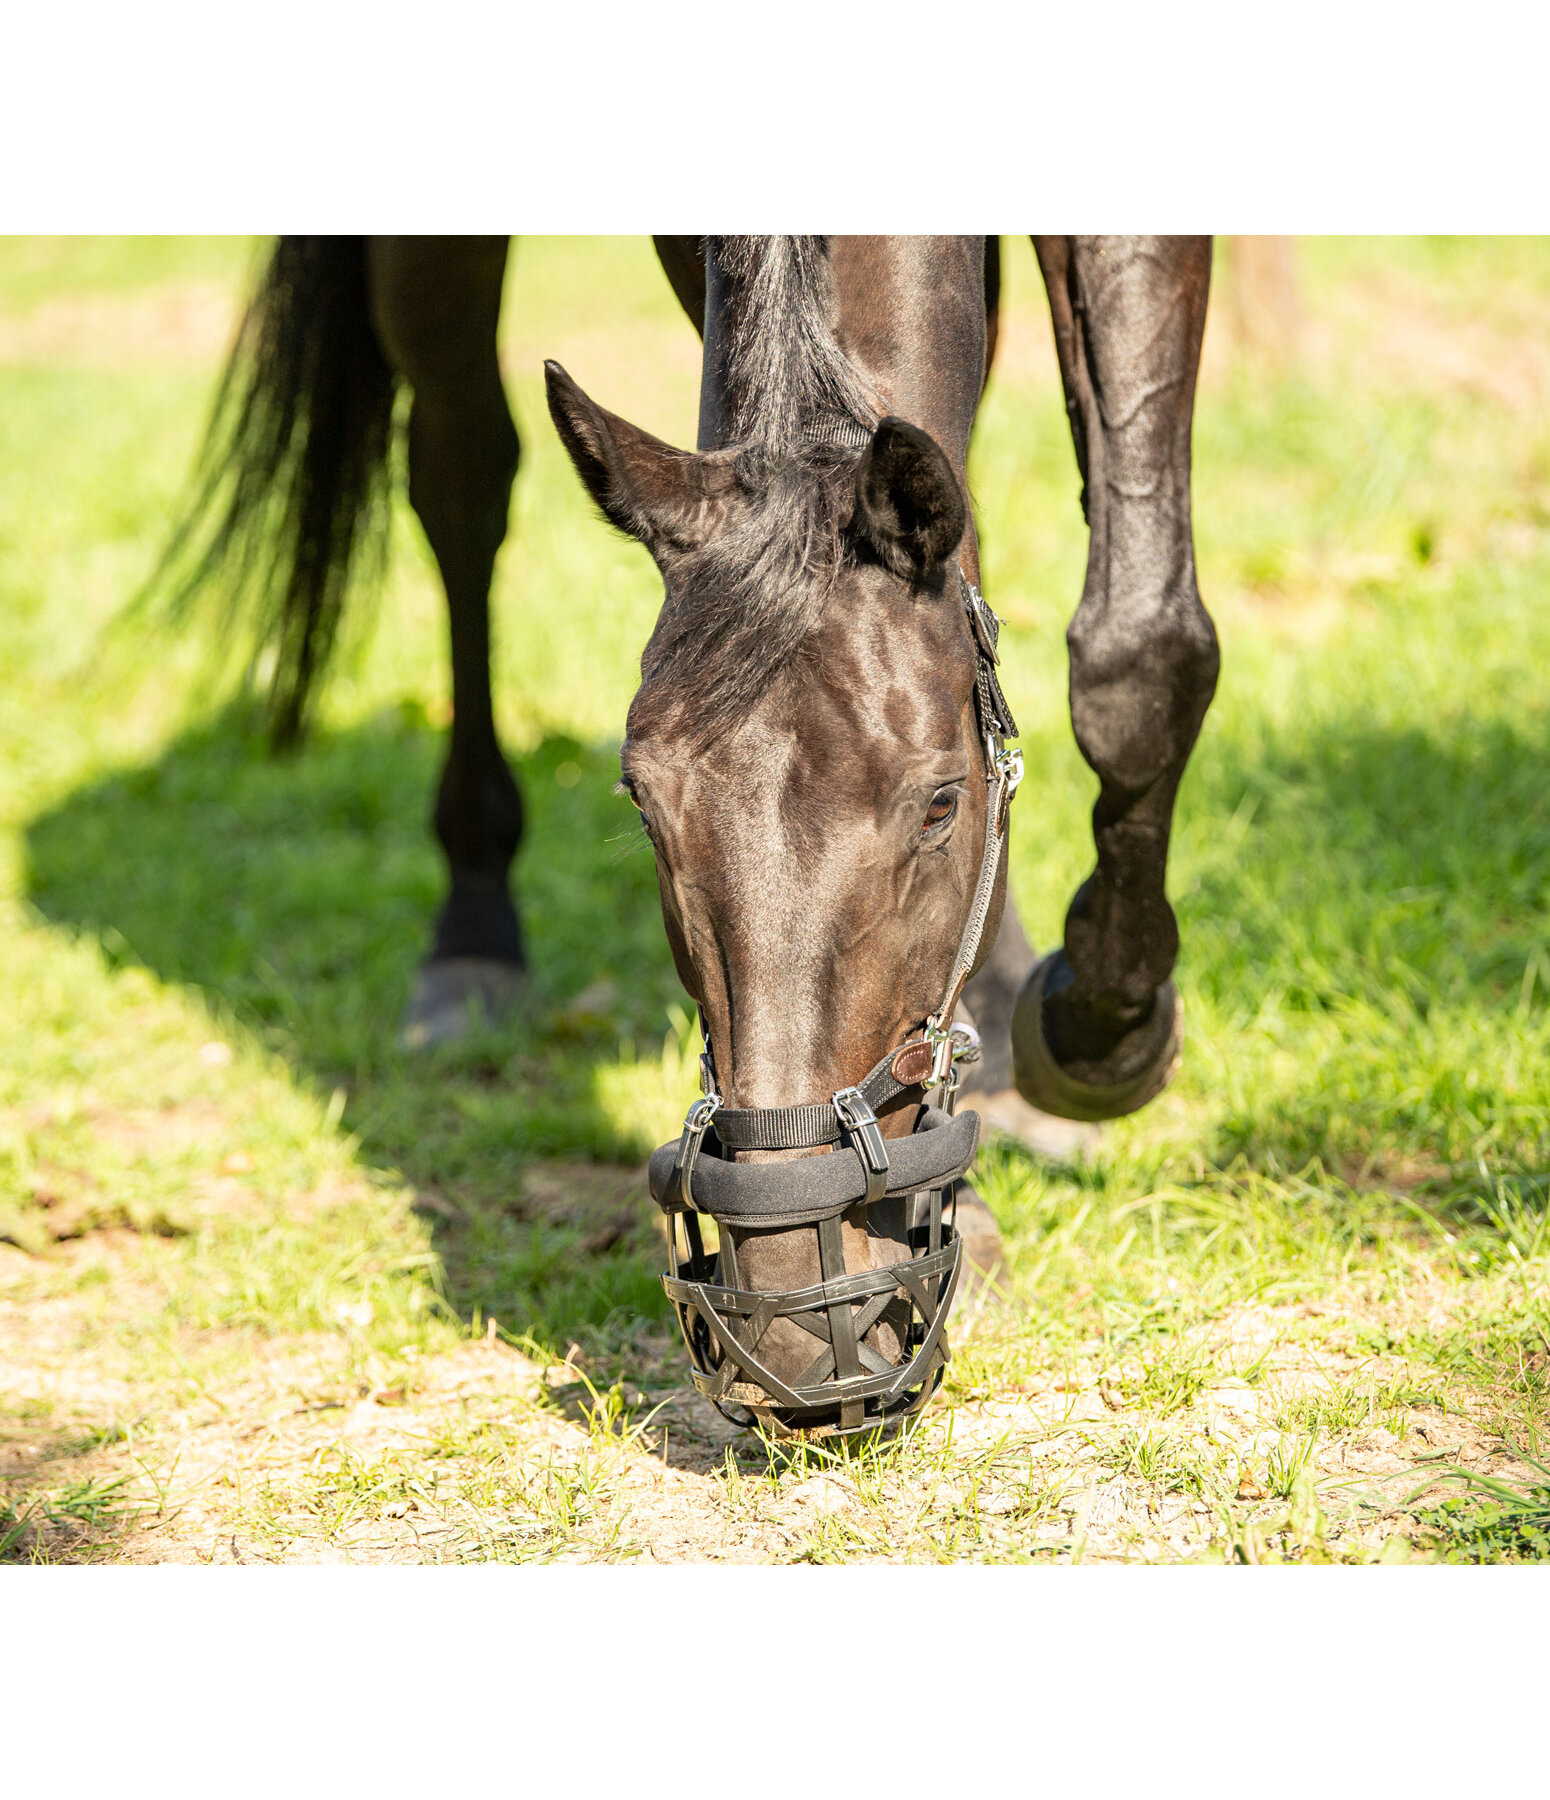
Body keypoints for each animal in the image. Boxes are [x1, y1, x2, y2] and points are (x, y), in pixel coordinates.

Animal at [162, 235, 1216, 1418]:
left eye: (943, 803)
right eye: (641, 803)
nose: (796, 1319)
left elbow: (1138, 651)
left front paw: (1098, 1040)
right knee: (460, 478)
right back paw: (471, 937)